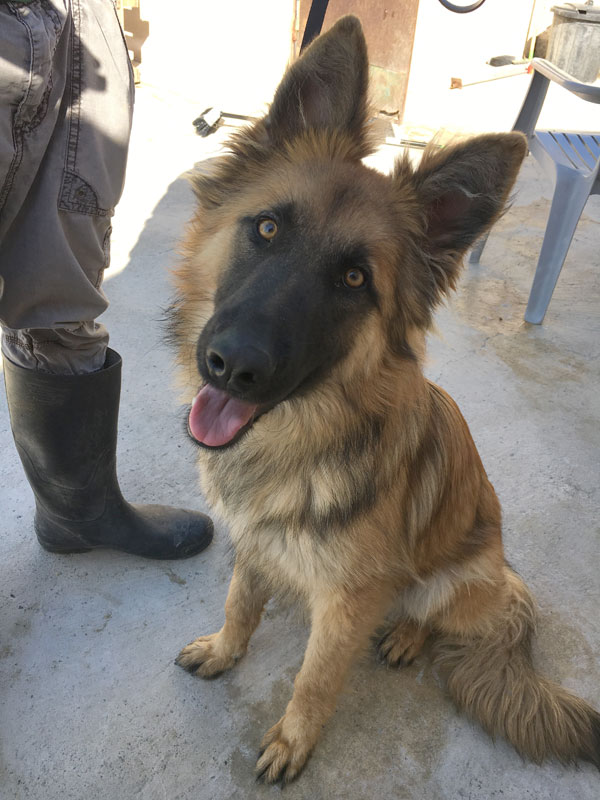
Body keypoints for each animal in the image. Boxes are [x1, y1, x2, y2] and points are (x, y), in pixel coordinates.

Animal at [169, 15, 600, 784]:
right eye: (267, 228)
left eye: (354, 280)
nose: (231, 367)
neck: (299, 437)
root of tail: (506, 580)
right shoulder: (255, 542)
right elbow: (241, 602)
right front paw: (224, 650)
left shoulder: (346, 602)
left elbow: (315, 678)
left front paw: (293, 742)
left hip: (455, 576)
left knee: (432, 612)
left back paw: (405, 633)